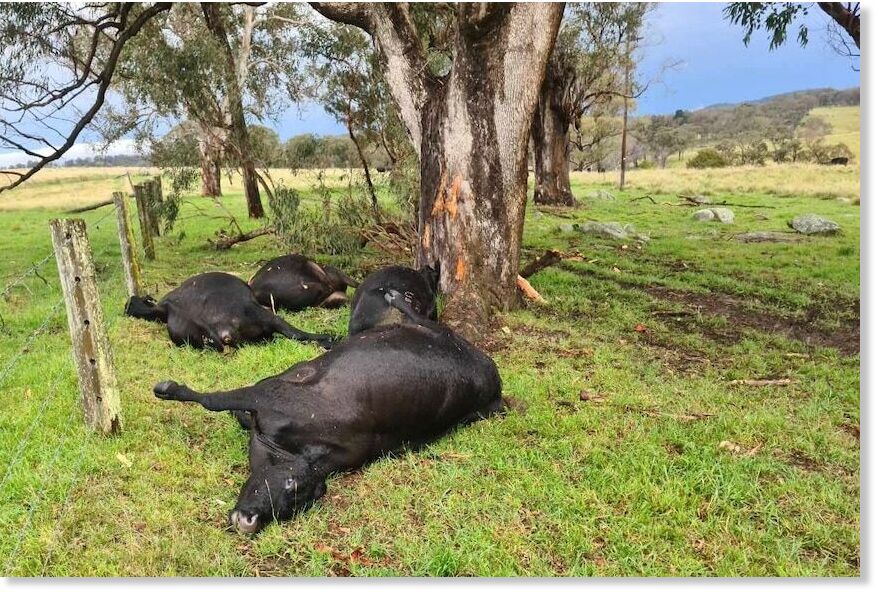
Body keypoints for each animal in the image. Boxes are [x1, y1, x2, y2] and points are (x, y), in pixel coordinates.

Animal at [152, 320, 503, 534]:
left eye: (293, 497)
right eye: (291, 484)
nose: (248, 522)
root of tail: (493, 378)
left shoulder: (270, 395)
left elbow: (213, 399)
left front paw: (170, 388)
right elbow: (221, 402)